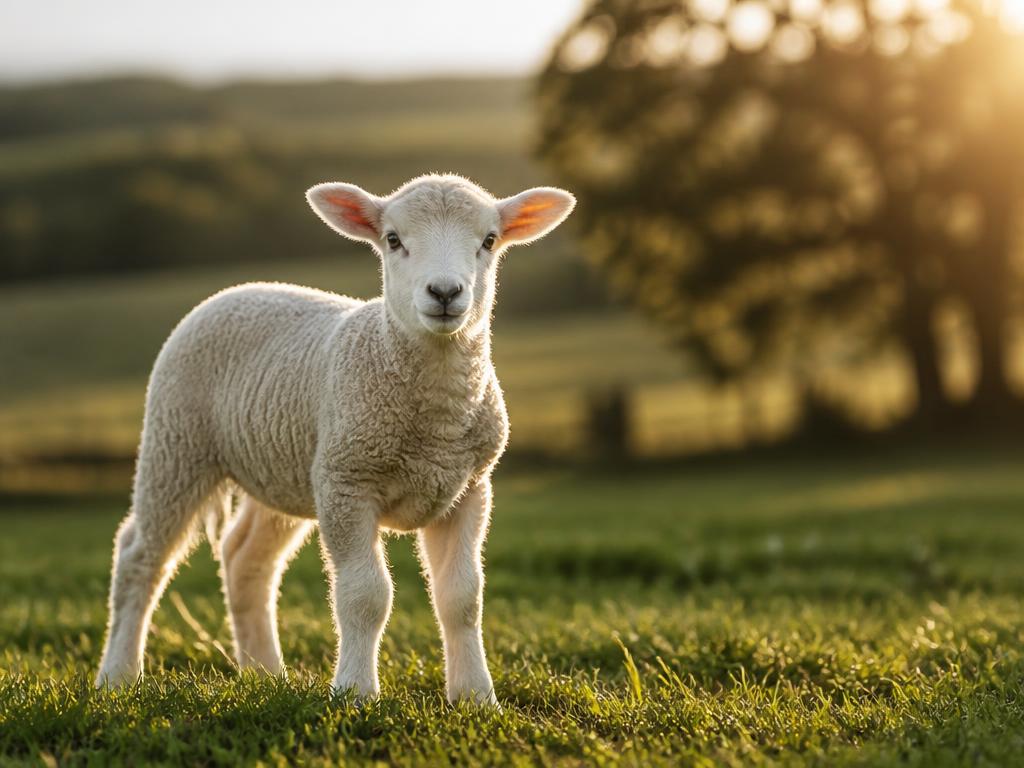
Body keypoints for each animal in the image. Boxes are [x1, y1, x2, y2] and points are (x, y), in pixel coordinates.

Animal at [95, 173, 576, 704]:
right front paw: (355, 692)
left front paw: (475, 697)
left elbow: (462, 597)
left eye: (489, 241)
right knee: (139, 557)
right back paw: (117, 676)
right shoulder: (347, 482)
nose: (445, 292)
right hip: (176, 441)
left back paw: (265, 674)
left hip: (284, 468)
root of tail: (236, 289)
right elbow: (366, 595)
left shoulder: (469, 488)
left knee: (246, 560)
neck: (435, 422)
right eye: (393, 240)